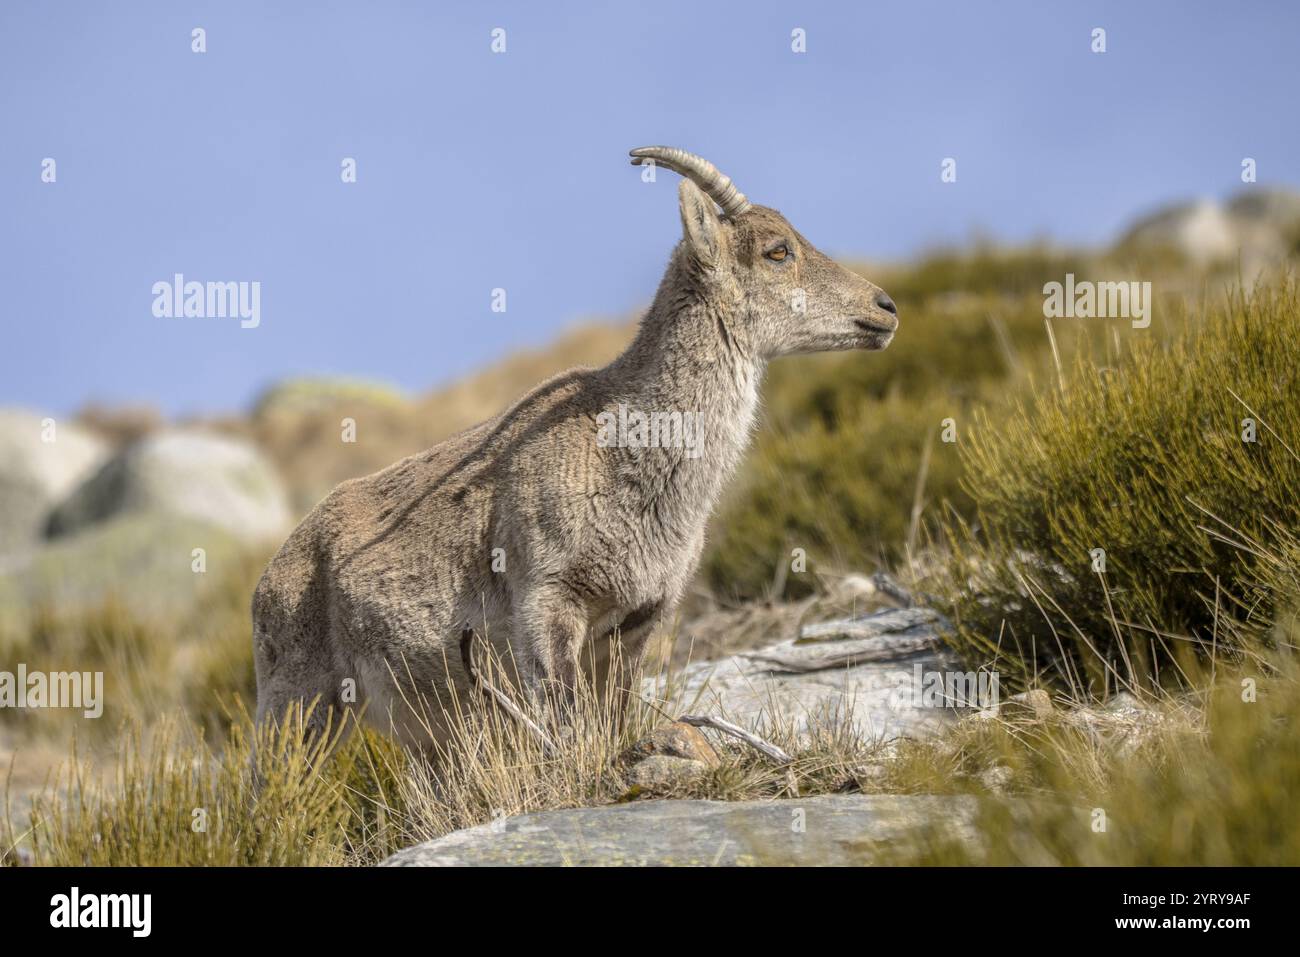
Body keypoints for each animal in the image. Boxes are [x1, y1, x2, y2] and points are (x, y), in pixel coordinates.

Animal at [251, 146, 900, 749]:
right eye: (776, 250)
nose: (885, 308)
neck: (626, 448)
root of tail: (268, 580)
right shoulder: (547, 600)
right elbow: (565, 719)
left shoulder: (638, 618)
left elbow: (612, 716)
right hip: (300, 701)